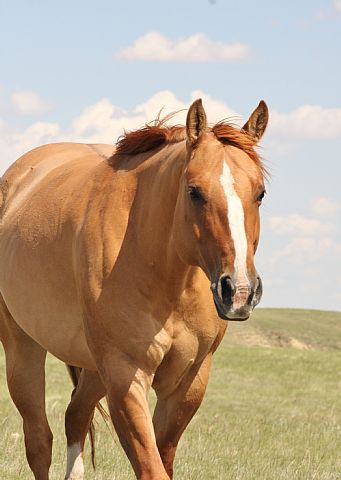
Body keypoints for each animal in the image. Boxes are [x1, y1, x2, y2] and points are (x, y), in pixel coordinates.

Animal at [0, 98, 268, 480]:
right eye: (194, 191)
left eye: (260, 193)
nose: (240, 291)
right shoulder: (126, 376)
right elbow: (152, 468)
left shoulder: (188, 382)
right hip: (24, 349)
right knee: (39, 440)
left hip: (94, 369)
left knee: (75, 416)